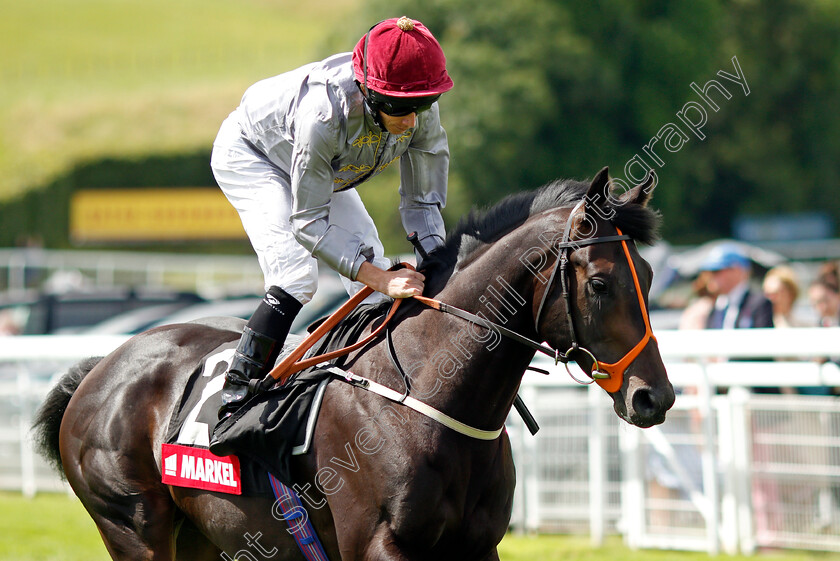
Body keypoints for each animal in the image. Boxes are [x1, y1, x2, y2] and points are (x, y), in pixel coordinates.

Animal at [34, 167, 676, 560]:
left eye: (648, 277)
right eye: (600, 284)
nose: (654, 397)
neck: (427, 398)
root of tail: (101, 366)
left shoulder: (478, 546)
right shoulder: (379, 546)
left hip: (203, 535)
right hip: (134, 526)